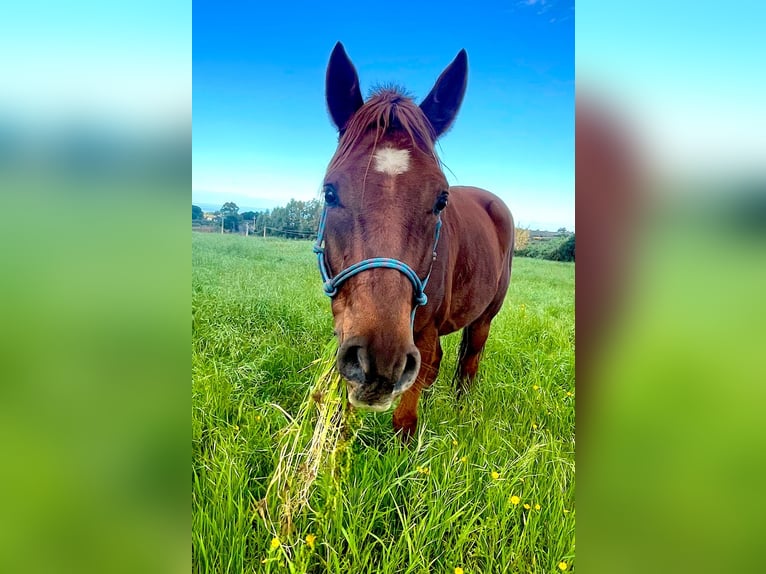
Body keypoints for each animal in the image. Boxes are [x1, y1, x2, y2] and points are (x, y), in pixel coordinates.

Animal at [314, 42, 514, 439]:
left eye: (441, 200)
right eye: (329, 193)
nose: (380, 360)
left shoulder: (421, 335)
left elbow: (404, 420)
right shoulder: (348, 331)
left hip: (484, 319)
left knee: (468, 364)